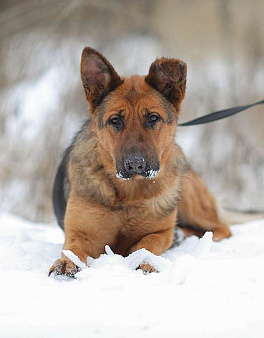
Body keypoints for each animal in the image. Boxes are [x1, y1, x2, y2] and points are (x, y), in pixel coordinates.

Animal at [49, 47, 231, 278]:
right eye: (115, 120)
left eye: (153, 118)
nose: (135, 164)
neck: (130, 194)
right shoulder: (81, 233)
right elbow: (73, 248)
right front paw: (67, 262)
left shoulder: (160, 232)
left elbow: (148, 242)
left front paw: (145, 261)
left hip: (188, 195)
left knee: (220, 228)